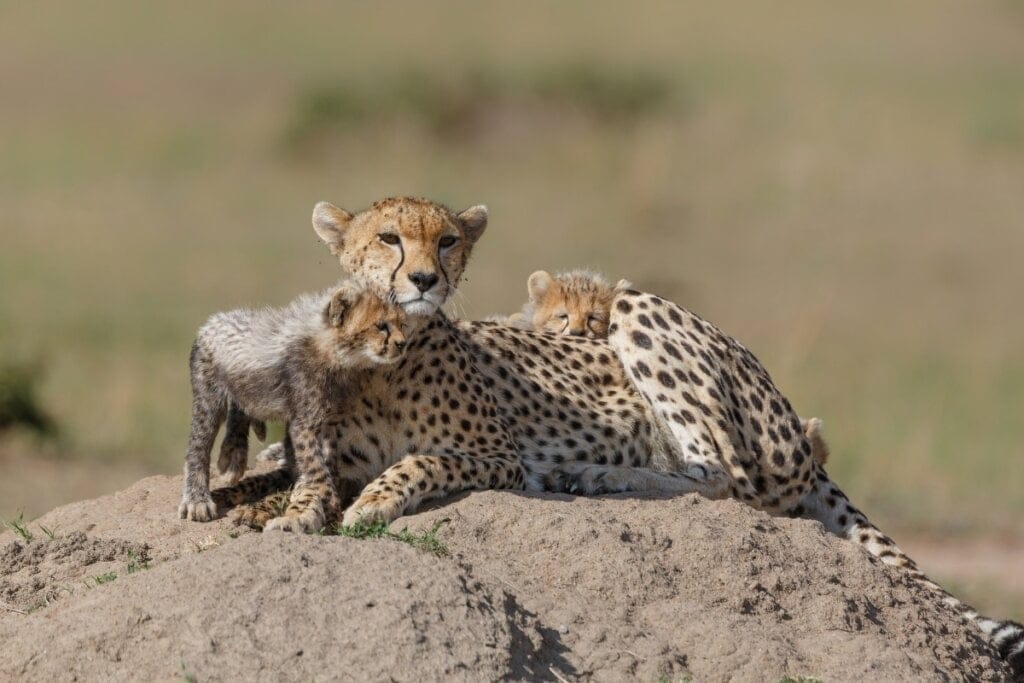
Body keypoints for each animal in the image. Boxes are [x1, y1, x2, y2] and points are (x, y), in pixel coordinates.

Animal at [212, 286, 1021, 674]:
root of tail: (803, 435)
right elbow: (280, 487)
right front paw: (268, 510)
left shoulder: (496, 452)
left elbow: (415, 463)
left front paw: (369, 502)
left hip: (651, 320)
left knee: (723, 477)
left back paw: (590, 472)